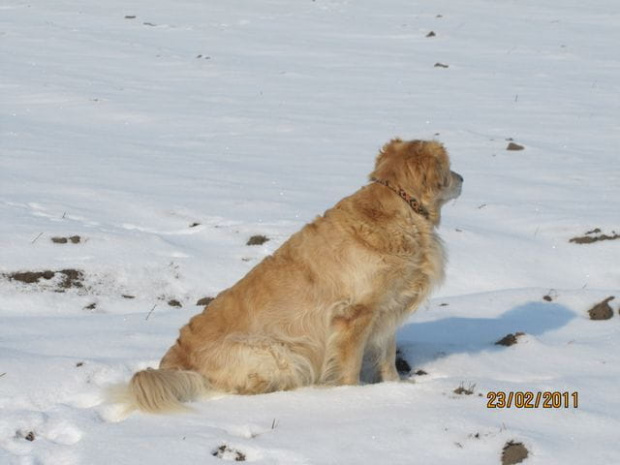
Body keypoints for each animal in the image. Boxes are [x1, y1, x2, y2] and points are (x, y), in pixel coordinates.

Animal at [118, 136, 462, 412]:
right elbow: (349, 366)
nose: (463, 178)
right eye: (448, 167)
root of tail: (173, 363)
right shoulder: (354, 316)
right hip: (276, 352)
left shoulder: (388, 309)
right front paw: (353, 395)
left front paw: (395, 389)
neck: (403, 208)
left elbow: (387, 356)